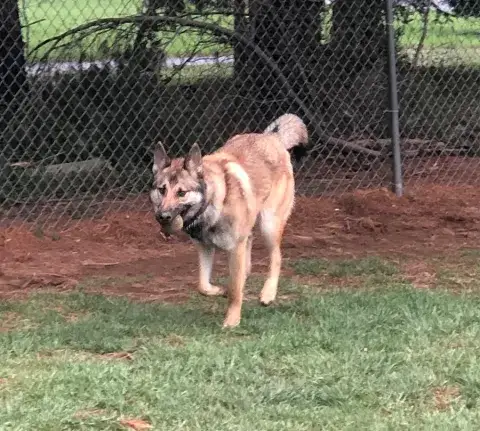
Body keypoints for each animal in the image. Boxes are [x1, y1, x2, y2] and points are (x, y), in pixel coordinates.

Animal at [150, 113, 308, 327]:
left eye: (181, 193)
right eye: (162, 189)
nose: (163, 216)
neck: (212, 203)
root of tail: (273, 138)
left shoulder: (235, 248)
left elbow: (234, 290)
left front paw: (232, 320)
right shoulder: (205, 248)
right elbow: (202, 285)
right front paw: (219, 290)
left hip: (269, 225)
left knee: (276, 257)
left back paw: (268, 294)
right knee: (248, 264)